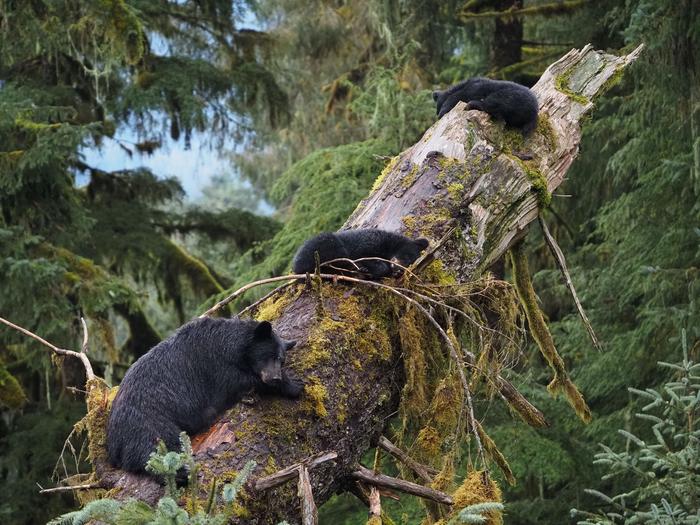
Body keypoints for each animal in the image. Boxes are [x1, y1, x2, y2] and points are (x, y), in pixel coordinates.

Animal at [106, 318, 300, 472]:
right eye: (271, 356)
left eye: (281, 359)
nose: (274, 377)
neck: (229, 345)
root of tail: (113, 443)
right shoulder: (214, 364)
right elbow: (238, 382)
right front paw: (293, 385)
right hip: (148, 421)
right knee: (153, 448)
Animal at [288, 228, 426, 278]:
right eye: (406, 256)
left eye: (410, 263)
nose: (399, 269)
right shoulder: (369, 242)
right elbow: (363, 255)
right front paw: (371, 268)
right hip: (324, 245)